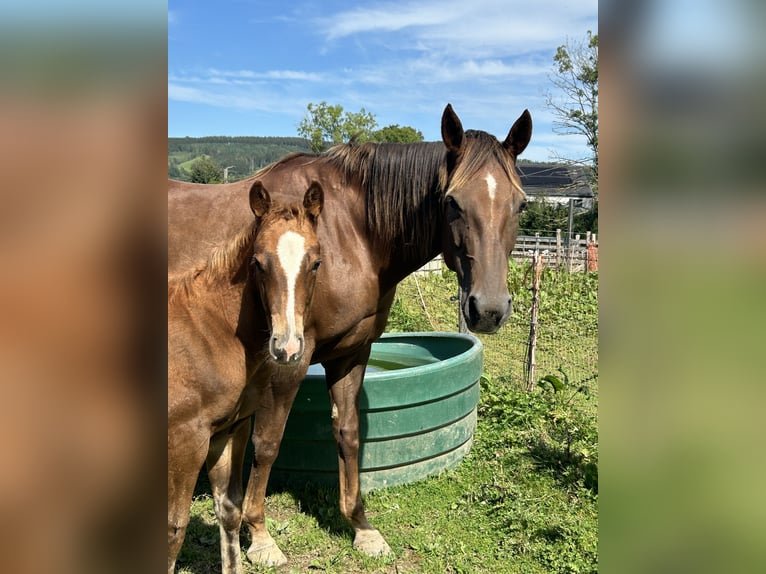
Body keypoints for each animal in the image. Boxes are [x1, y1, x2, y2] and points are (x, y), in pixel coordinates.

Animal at [168, 182, 324, 572]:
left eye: (315, 262)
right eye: (257, 262)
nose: (286, 348)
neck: (213, 329)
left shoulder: (228, 429)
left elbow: (229, 511)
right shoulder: (186, 439)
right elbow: (174, 529)